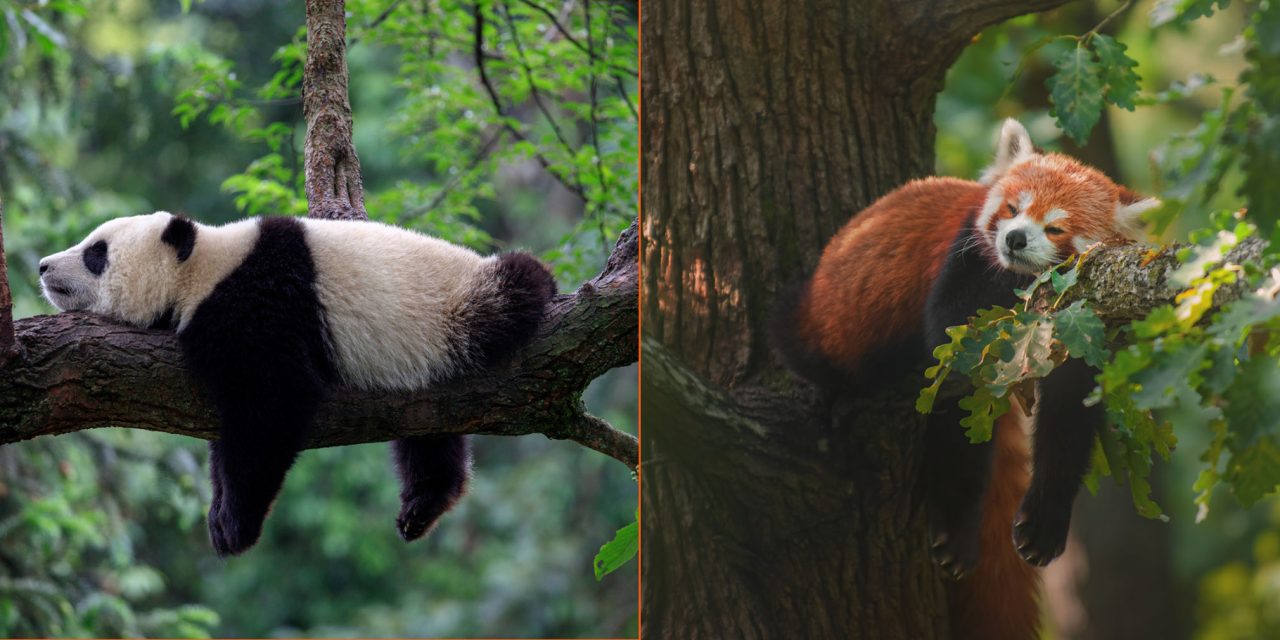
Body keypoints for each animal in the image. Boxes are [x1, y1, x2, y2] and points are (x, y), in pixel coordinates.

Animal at [38, 212, 556, 556]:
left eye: (96, 253)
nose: (43, 266)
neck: (203, 267)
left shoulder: (260, 304)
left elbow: (272, 405)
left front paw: (234, 525)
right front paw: (219, 512)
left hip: (457, 308)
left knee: (515, 287)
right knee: (428, 433)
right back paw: (423, 505)